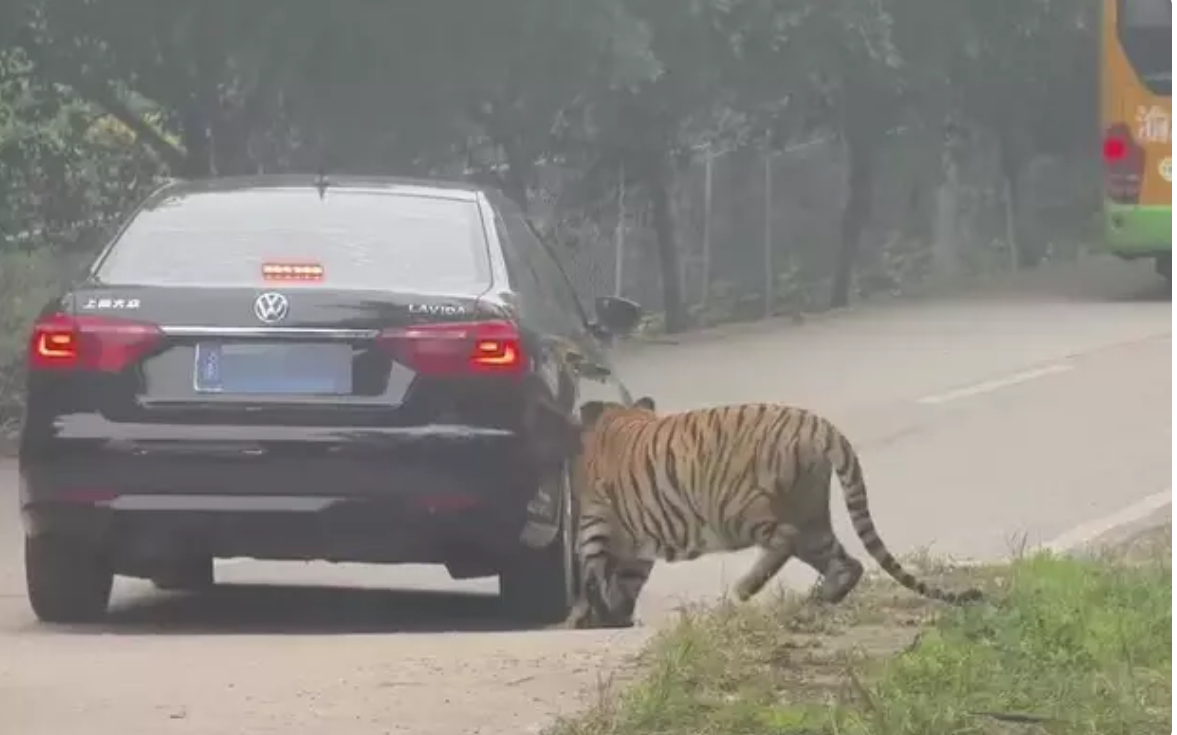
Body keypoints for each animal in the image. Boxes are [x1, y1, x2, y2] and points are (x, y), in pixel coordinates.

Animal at [560, 398, 983, 626]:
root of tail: (821, 425)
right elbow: (616, 582)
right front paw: (610, 615)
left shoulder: (595, 525)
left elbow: (594, 573)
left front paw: (595, 616)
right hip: (811, 514)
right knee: (847, 562)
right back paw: (819, 599)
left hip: (733, 508)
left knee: (784, 539)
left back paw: (746, 588)